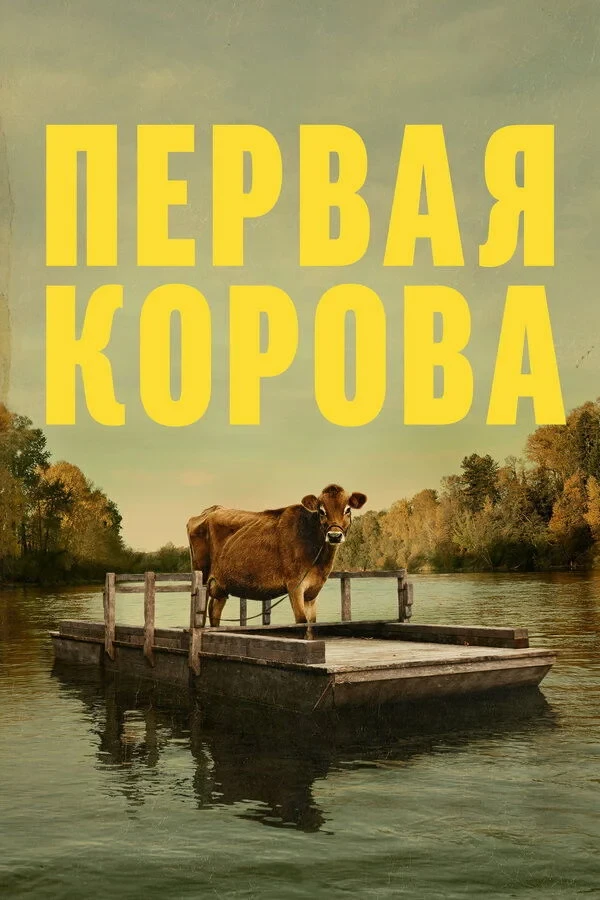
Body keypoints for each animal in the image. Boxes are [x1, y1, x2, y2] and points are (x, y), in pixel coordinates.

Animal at [186, 484, 367, 629]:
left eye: (348, 509)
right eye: (321, 511)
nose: (334, 536)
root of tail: (211, 510)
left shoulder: (312, 591)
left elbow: (312, 622)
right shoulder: (295, 585)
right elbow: (301, 621)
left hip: (221, 584)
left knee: (215, 611)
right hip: (202, 576)